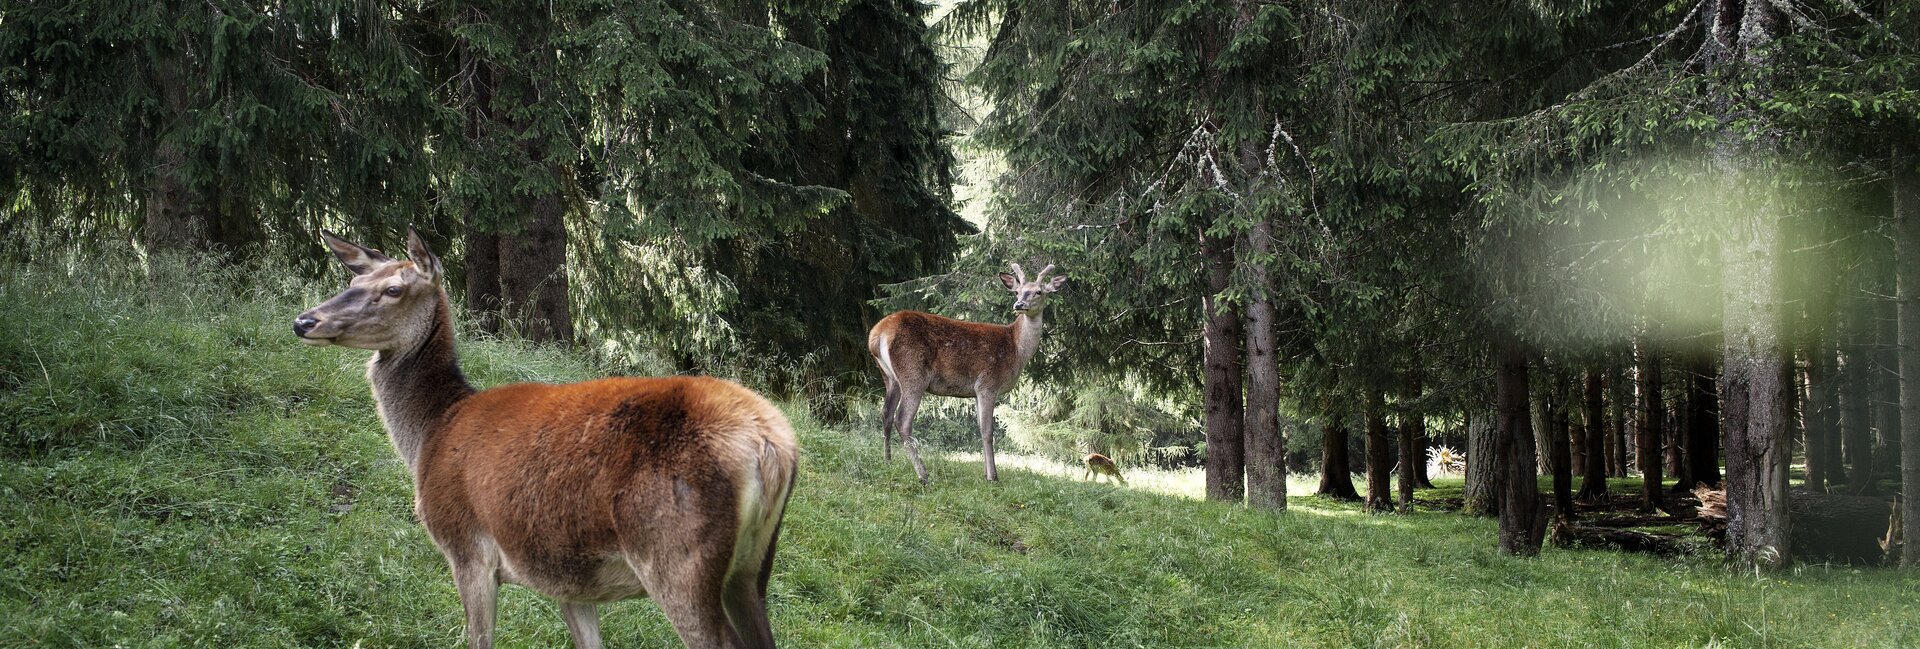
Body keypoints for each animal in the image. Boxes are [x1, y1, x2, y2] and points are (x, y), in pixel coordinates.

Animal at [289, 232, 794, 649]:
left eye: (394, 289)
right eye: (354, 279)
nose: (304, 321)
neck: (430, 434)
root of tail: (771, 444)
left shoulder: (466, 548)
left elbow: (479, 641)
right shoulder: (565, 577)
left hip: (676, 558)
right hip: (752, 568)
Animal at [867, 259, 1067, 481]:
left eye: (1038, 291)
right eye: (1017, 292)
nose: (1019, 305)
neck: (1016, 348)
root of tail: (877, 334)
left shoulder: (976, 391)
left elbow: (980, 429)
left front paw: (985, 472)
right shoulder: (988, 383)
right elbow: (987, 432)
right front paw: (993, 477)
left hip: (889, 376)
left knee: (886, 413)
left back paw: (888, 463)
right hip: (913, 373)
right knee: (902, 419)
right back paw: (923, 475)